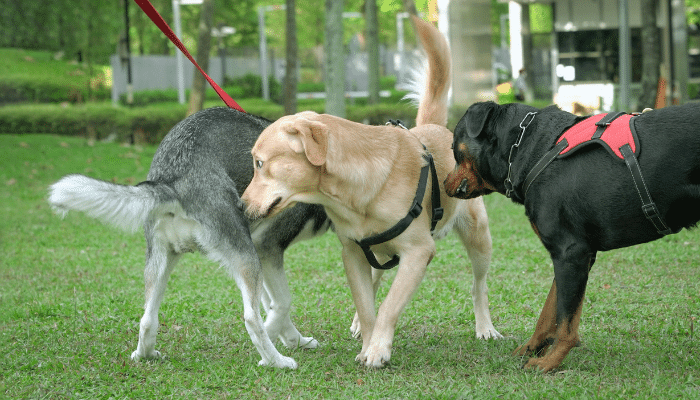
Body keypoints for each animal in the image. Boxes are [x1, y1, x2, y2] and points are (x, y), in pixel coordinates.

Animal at [48, 107, 330, 368]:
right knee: (251, 318)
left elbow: (275, 305)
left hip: (163, 260)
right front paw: (278, 339)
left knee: (147, 318)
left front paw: (296, 340)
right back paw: (276, 361)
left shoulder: (264, 257)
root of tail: (173, 179)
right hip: (245, 258)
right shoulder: (265, 249)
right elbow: (281, 304)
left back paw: (145, 354)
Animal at [243, 15, 500, 368]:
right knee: (377, 279)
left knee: (479, 286)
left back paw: (485, 327)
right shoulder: (352, 253)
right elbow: (367, 307)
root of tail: (434, 127)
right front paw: (367, 343)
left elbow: (390, 305)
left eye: (260, 163)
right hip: (378, 250)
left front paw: (378, 350)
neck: (357, 189)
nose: (241, 205)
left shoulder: (419, 252)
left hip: (478, 237)